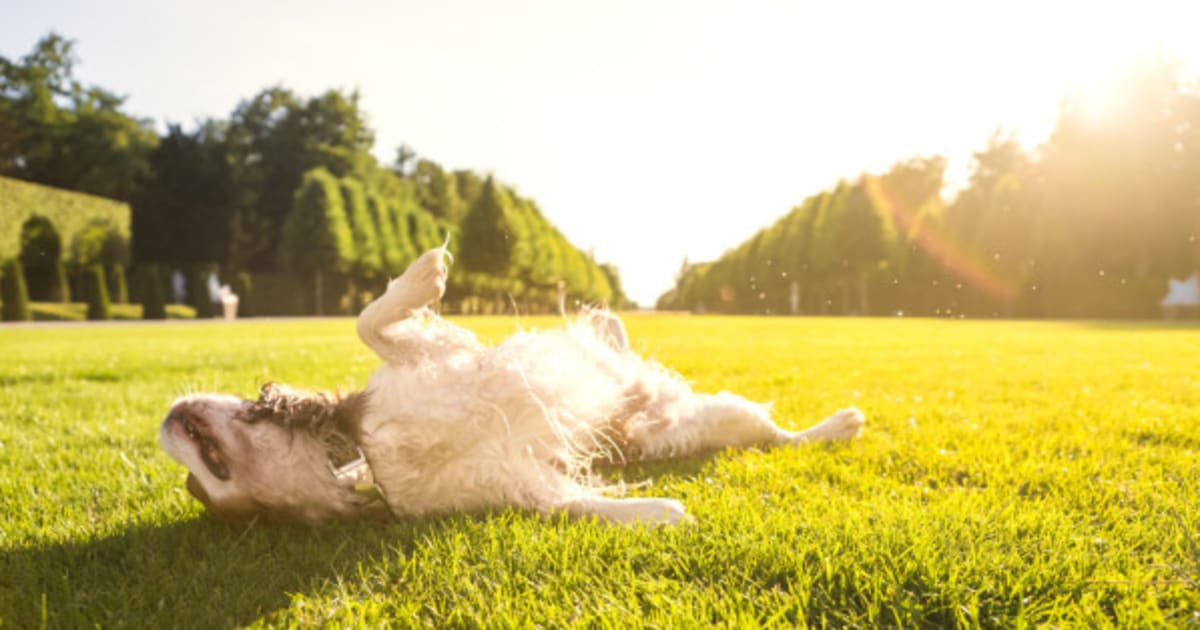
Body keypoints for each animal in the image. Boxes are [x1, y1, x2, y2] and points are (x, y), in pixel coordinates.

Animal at [162, 248, 864, 523]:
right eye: (204, 486)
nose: (166, 421)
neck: (374, 453)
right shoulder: (521, 484)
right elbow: (577, 504)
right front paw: (660, 512)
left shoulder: (430, 356)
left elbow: (372, 320)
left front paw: (423, 275)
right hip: (712, 420)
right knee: (777, 438)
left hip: (719, 407)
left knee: (785, 434)